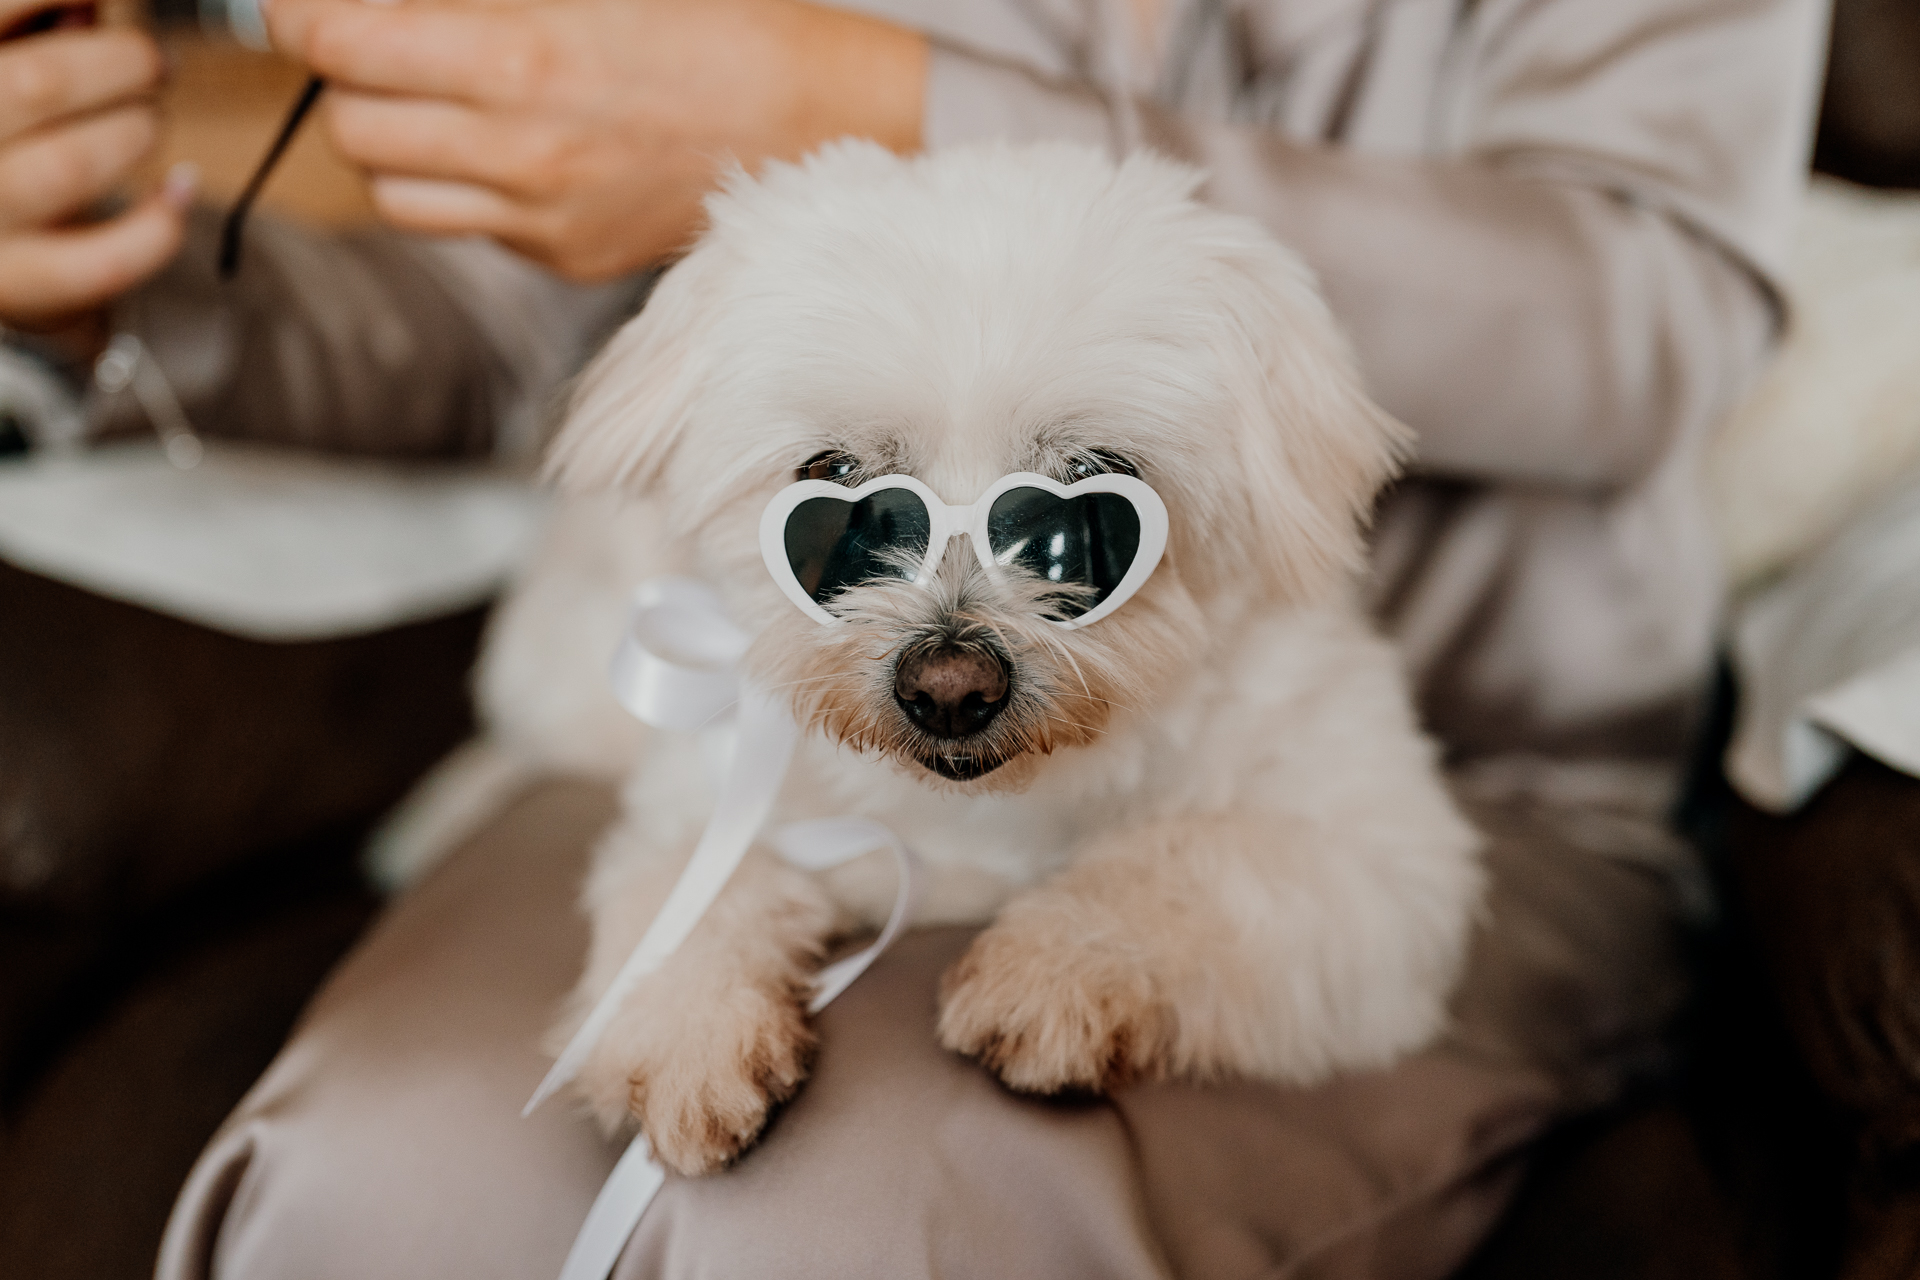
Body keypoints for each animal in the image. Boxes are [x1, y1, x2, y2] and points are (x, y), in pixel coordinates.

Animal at [468, 140, 1482, 1182]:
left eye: (1093, 500)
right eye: (835, 487)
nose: (949, 687)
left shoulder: (1383, 869)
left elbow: (1190, 863)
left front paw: (1053, 967)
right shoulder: (706, 783)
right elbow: (682, 889)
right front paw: (683, 1024)